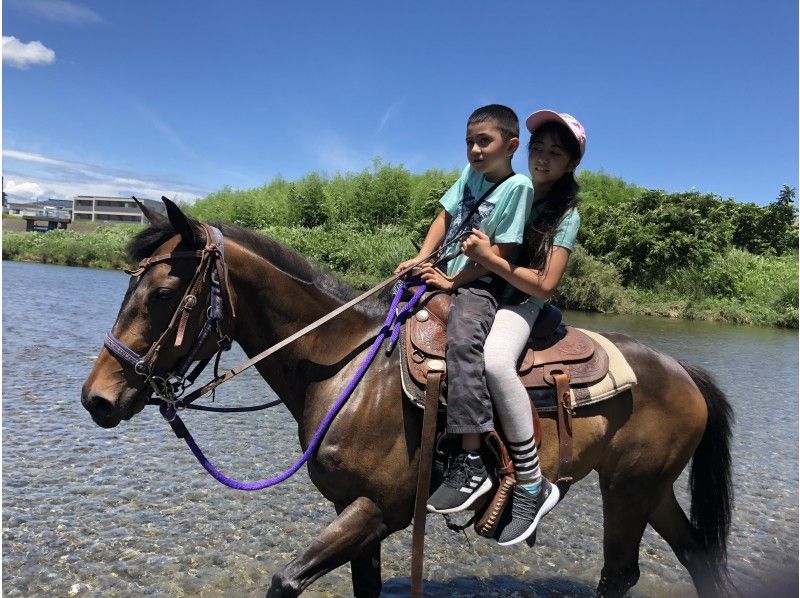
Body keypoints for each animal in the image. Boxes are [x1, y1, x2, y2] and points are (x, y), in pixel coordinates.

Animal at [79, 199, 732, 596]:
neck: (348, 371)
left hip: (629, 489)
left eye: (163, 292)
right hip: (652, 489)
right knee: (694, 555)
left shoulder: (377, 509)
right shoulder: (351, 512)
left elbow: (286, 580)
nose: (97, 399)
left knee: (620, 572)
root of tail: (681, 369)